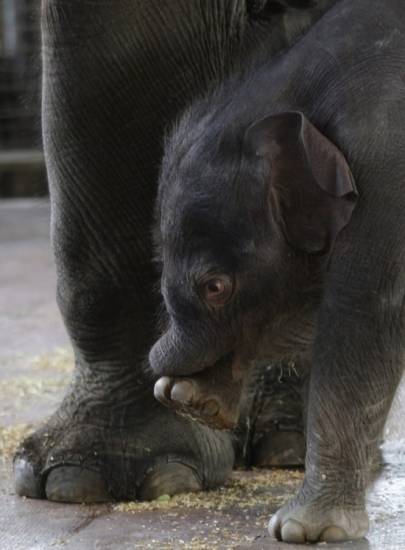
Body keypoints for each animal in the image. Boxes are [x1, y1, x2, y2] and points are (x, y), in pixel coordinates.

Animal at [148, 0, 404, 544]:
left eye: (215, 287)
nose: (167, 388)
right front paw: (192, 401)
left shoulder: (389, 172)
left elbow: (363, 322)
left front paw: (304, 531)